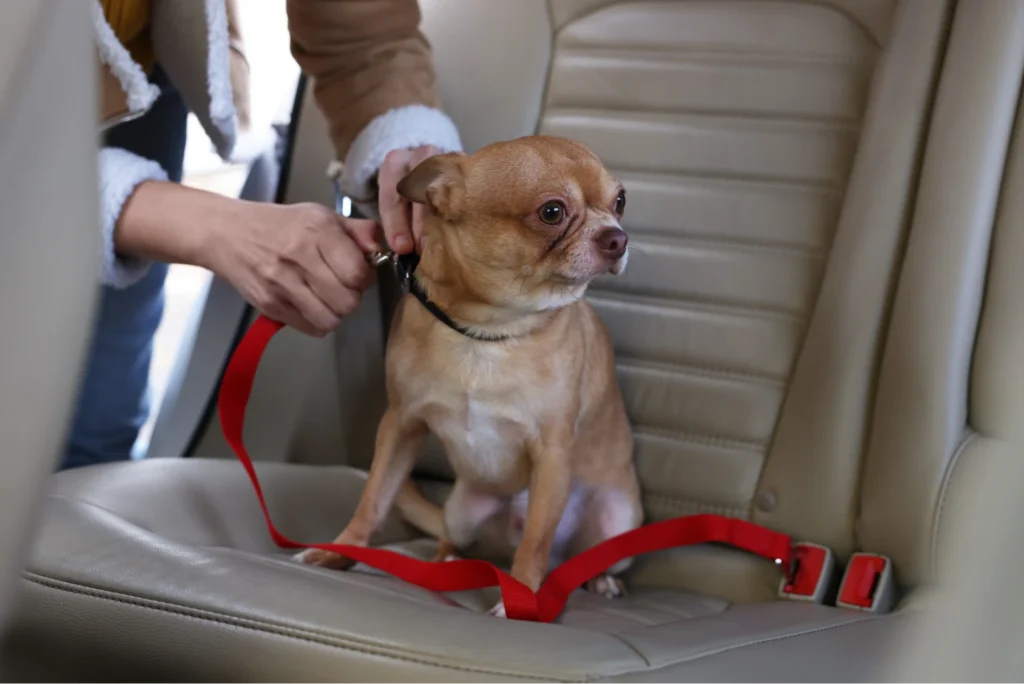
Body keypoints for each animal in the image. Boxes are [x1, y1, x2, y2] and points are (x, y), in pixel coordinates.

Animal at [294, 135, 638, 614]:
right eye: (552, 211)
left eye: (620, 201)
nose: (617, 237)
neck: (489, 333)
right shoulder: (400, 426)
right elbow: (373, 499)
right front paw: (340, 551)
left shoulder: (552, 454)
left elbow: (536, 540)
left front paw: (521, 599)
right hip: (460, 511)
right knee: (449, 536)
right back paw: (445, 563)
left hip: (619, 521)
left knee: (575, 554)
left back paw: (600, 580)